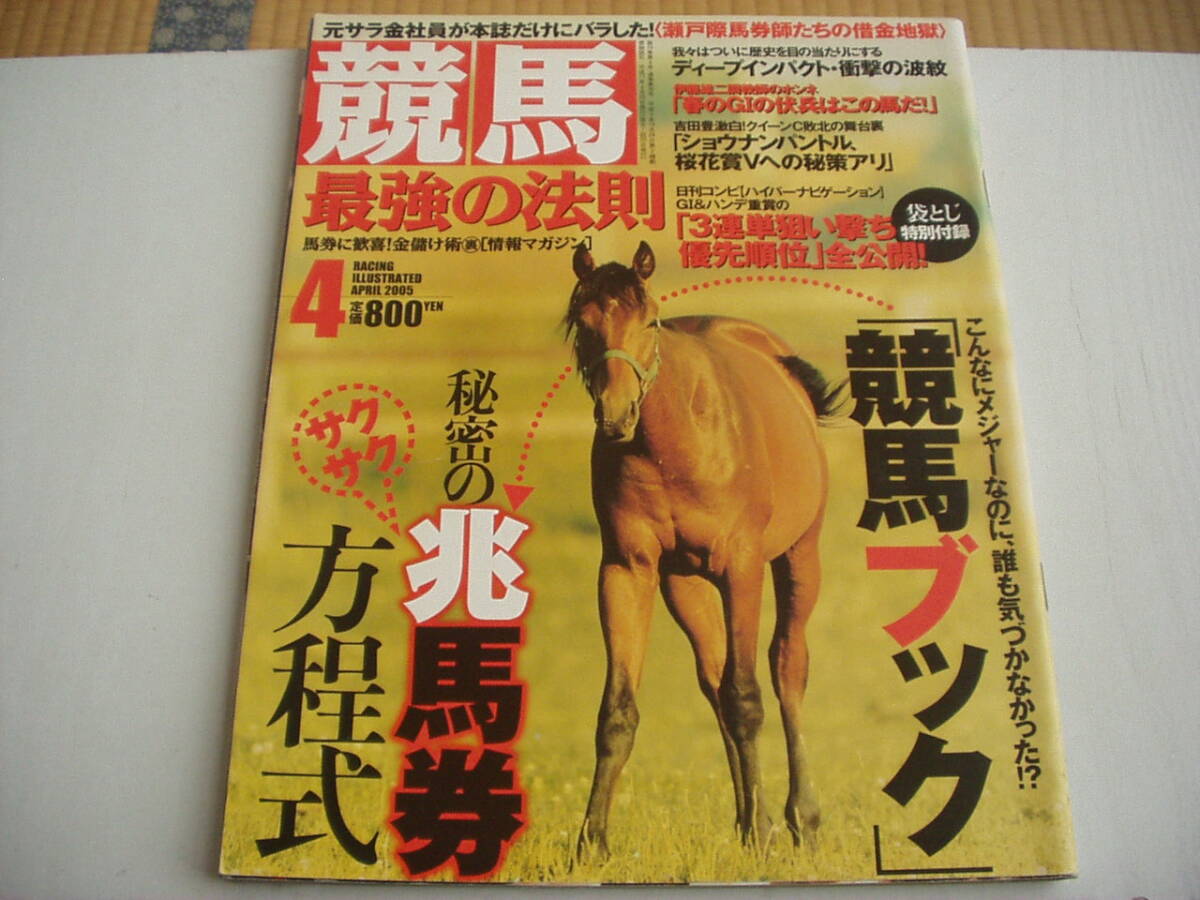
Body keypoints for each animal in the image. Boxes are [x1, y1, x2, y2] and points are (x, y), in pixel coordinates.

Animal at [565, 241, 843, 860]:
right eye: (582, 324)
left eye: (648, 321)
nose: (616, 414)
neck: (676, 438)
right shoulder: (627, 569)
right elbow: (618, 713)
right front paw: (591, 842)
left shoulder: (742, 568)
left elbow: (747, 698)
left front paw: (769, 833)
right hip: (685, 584)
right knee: (714, 681)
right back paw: (751, 819)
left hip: (799, 557)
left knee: (786, 669)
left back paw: (801, 819)